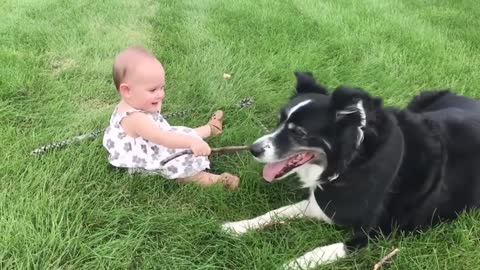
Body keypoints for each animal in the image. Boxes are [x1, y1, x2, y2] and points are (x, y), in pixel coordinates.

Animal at [221, 71, 480, 268]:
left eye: (299, 133)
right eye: (279, 121)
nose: (253, 149)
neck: (352, 161)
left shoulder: (378, 233)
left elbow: (322, 250)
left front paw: (289, 264)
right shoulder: (321, 203)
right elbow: (277, 212)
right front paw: (237, 226)